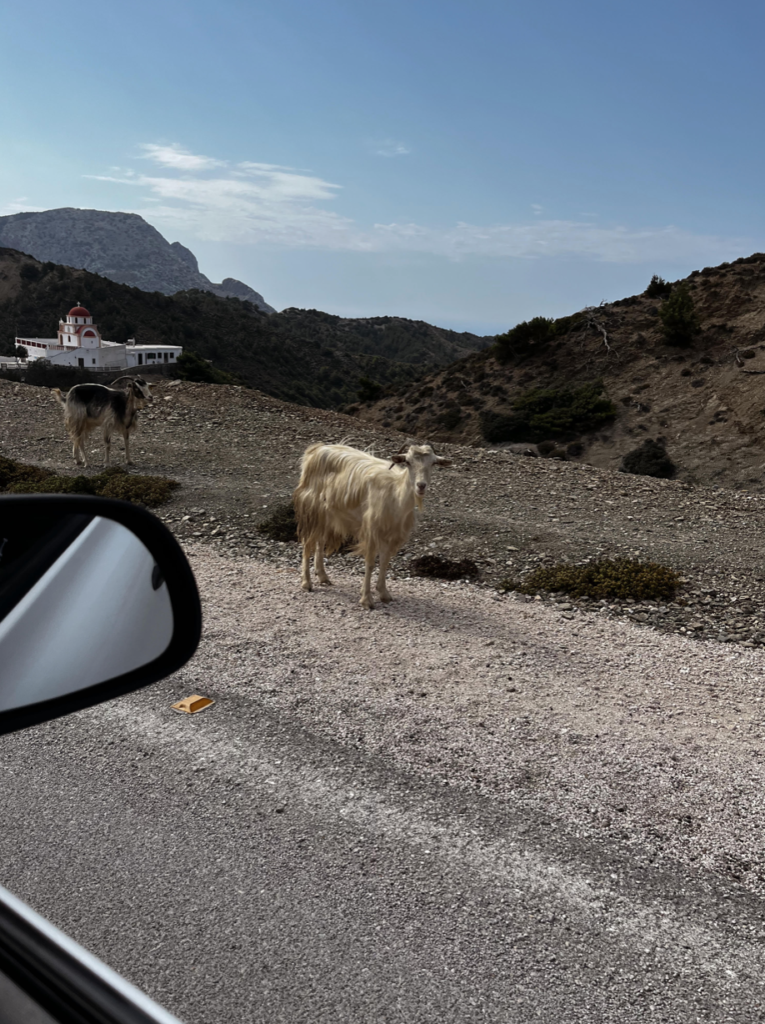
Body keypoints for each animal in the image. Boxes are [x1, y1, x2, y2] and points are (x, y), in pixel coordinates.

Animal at [290, 440, 448, 606]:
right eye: (408, 462)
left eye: (433, 463)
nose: (421, 485)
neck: (395, 494)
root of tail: (316, 450)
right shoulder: (372, 529)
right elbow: (370, 563)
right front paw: (366, 599)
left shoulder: (392, 533)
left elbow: (385, 562)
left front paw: (384, 593)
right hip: (312, 509)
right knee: (308, 542)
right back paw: (306, 583)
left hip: (327, 514)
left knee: (320, 541)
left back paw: (322, 576)